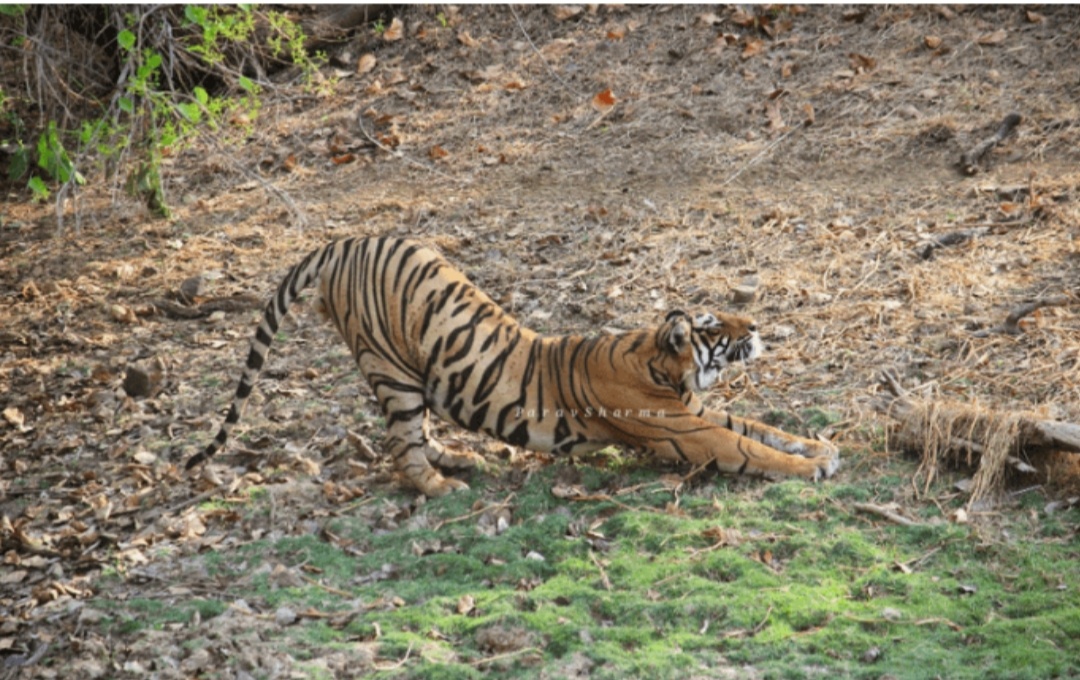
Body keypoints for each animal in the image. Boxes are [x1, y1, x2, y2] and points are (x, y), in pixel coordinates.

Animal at [186, 236, 839, 496]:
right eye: (714, 326)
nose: (754, 327)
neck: (661, 366)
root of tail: (342, 243)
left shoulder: (698, 409)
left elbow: (762, 427)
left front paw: (821, 447)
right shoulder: (686, 430)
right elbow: (750, 447)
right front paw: (811, 469)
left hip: (414, 374)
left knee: (416, 433)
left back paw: (458, 459)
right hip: (391, 369)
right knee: (401, 446)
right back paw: (440, 485)